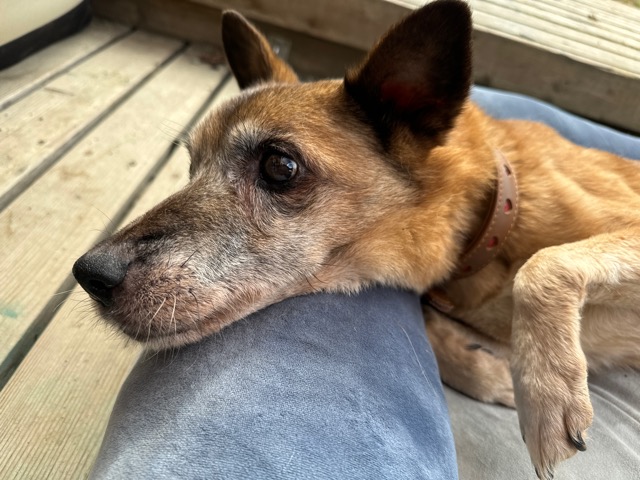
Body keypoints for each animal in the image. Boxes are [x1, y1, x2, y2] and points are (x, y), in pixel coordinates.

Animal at [72, 1, 640, 477]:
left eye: (280, 166)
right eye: (191, 167)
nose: (88, 274)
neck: (487, 228)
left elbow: (543, 265)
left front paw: (546, 397)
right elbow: (435, 322)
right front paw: (490, 372)